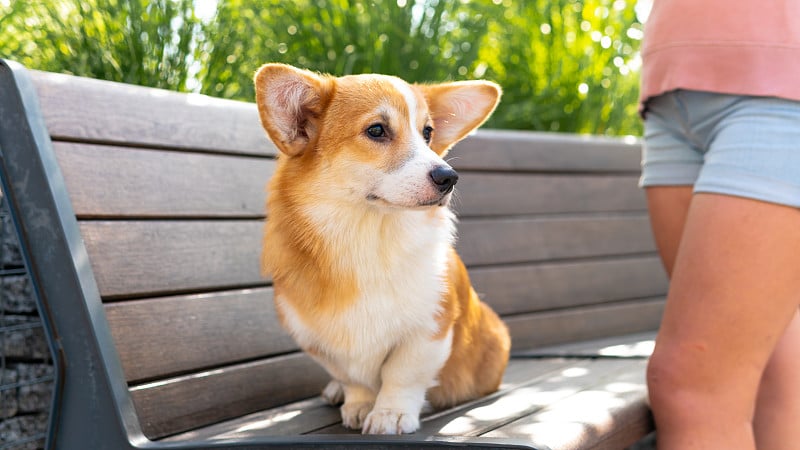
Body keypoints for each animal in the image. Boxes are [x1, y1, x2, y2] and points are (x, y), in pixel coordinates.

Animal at [256, 64, 512, 436]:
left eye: (428, 133)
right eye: (376, 130)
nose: (449, 177)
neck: (369, 234)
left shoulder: (429, 329)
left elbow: (402, 374)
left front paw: (390, 414)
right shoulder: (321, 340)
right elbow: (353, 378)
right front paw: (360, 405)